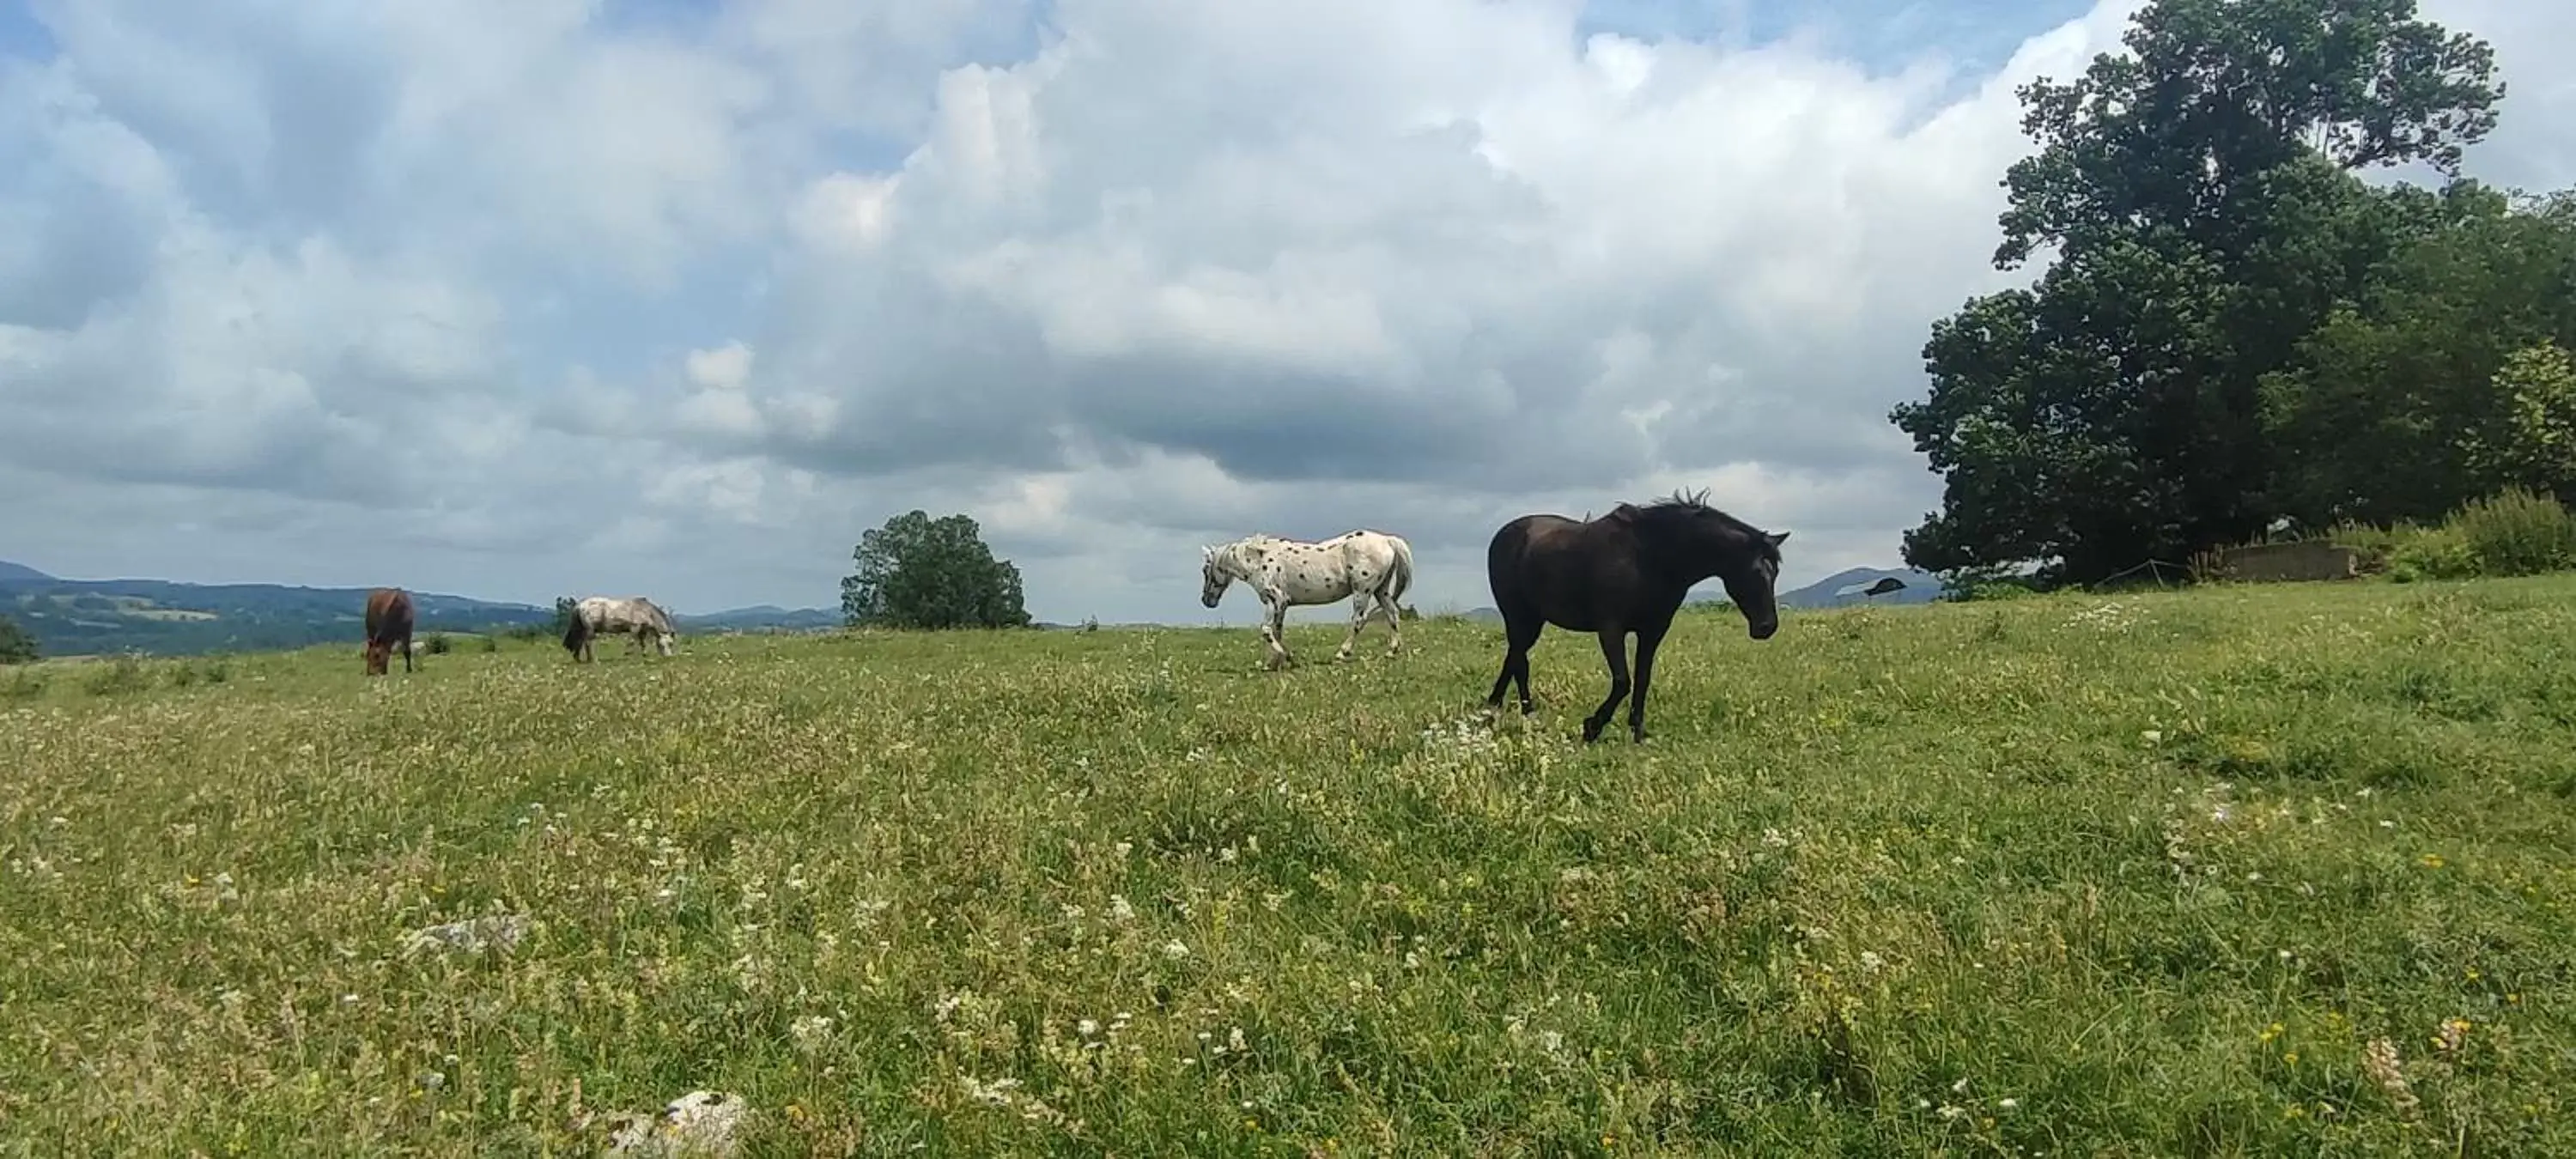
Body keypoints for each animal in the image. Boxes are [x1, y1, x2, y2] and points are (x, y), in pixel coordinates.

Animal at [564, 598, 680, 659]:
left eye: (671, 644)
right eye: (661, 645)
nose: (669, 657)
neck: (646, 611)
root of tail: (580, 605)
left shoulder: (642, 630)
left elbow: (642, 643)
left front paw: (645, 654)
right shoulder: (635, 627)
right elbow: (632, 642)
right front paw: (627, 654)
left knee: (580, 642)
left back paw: (578, 659)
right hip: (590, 630)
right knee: (587, 643)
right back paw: (592, 659)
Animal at [1200, 528, 1422, 670]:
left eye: (1205, 570)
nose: (1207, 600)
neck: (1260, 560)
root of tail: (1388, 540)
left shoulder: (1275, 600)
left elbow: (1266, 630)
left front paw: (1283, 657)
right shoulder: (1282, 605)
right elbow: (1277, 631)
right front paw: (1277, 662)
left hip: (1363, 591)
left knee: (1358, 621)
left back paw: (1342, 653)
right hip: (1380, 590)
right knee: (1392, 614)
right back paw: (1392, 651)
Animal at [1484, 487, 1783, 742]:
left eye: (1776, 571)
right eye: (1756, 572)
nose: (1767, 626)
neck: (1650, 557)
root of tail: (1503, 534)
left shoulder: (1652, 631)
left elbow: (1642, 680)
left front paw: (1637, 733)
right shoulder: (1611, 629)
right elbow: (1622, 682)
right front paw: (1592, 727)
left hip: (1532, 620)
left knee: (1514, 658)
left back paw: (1493, 711)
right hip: (1518, 616)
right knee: (1520, 662)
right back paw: (1525, 716)